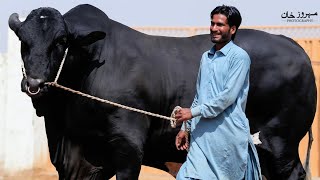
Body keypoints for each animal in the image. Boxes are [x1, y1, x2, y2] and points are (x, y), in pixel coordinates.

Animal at [8, 3, 316, 179]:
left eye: (61, 41)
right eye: (23, 40)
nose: (34, 83)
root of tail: (294, 45)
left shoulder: (128, 147)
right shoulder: (77, 160)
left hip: (281, 143)